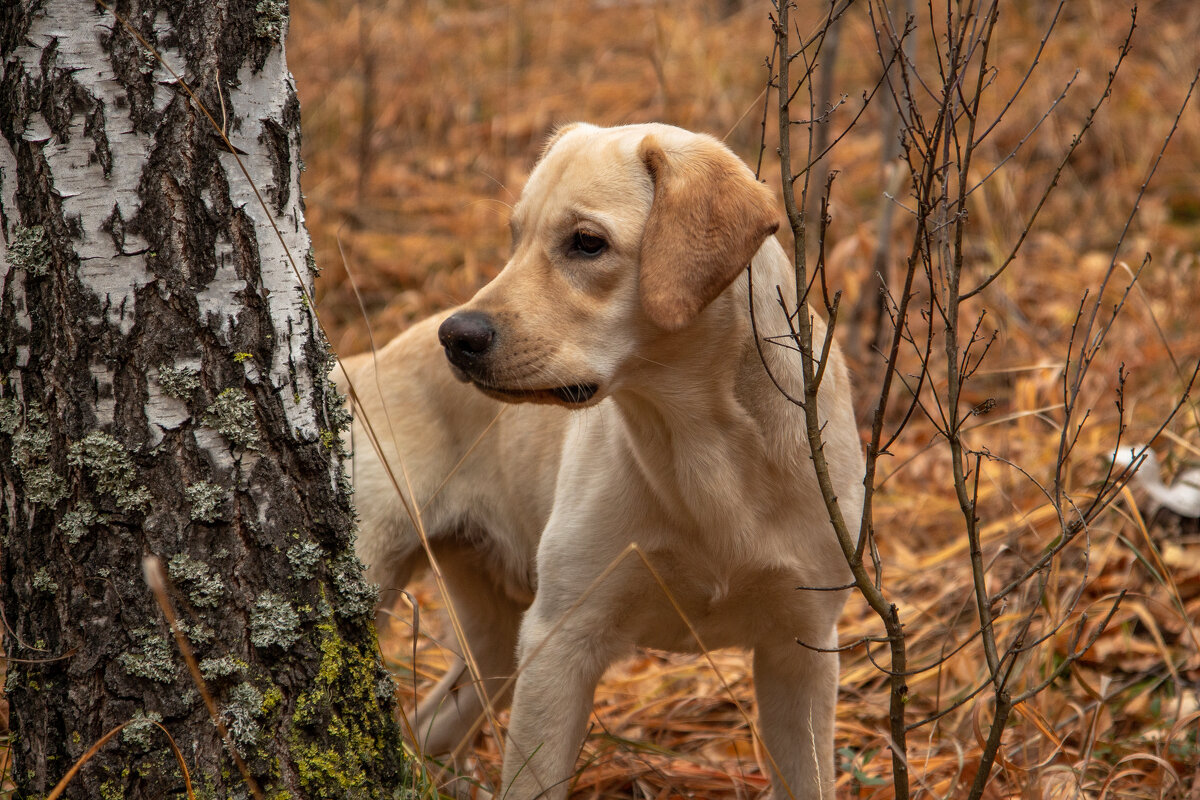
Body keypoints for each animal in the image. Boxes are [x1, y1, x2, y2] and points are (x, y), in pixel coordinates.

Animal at [338, 122, 864, 796]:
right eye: (516, 237)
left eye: (587, 243)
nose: (456, 338)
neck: (704, 444)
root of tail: (361, 364)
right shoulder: (561, 641)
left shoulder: (802, 650)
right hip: (392, 579)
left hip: (497, 646)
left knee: (428, 729)